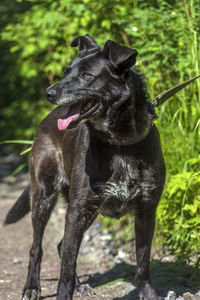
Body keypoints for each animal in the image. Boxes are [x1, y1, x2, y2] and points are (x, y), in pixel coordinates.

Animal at [4, 34, 166, 298]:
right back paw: (32, 287)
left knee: (62, 246)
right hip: (45, 198)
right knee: (37, 248)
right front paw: (63, 293)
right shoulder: (77, 211)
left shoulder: (146, 212)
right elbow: (65, 273)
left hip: (87, 210)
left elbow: (143, 265)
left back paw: (80, 286)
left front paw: (149, 294)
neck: (118, 143)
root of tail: (47, 119)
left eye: (87, 75)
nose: (48, 93)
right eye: (66, 71)